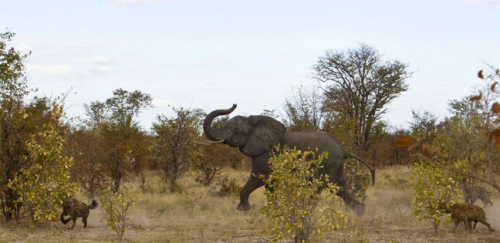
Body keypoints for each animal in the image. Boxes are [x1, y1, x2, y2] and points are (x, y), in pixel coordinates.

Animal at [203, 104, 376, 215]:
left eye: (235, 129)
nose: (234, 104)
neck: (254, 122)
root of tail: (342, 148)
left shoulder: (265, 153)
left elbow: (259, 178)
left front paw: (243, 210)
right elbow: (269, 183)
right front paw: (274, 212)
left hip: (327, 163)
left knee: (318, 188)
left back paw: (306, 212)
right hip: (336, 165)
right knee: (341, 188)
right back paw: (362, 213)